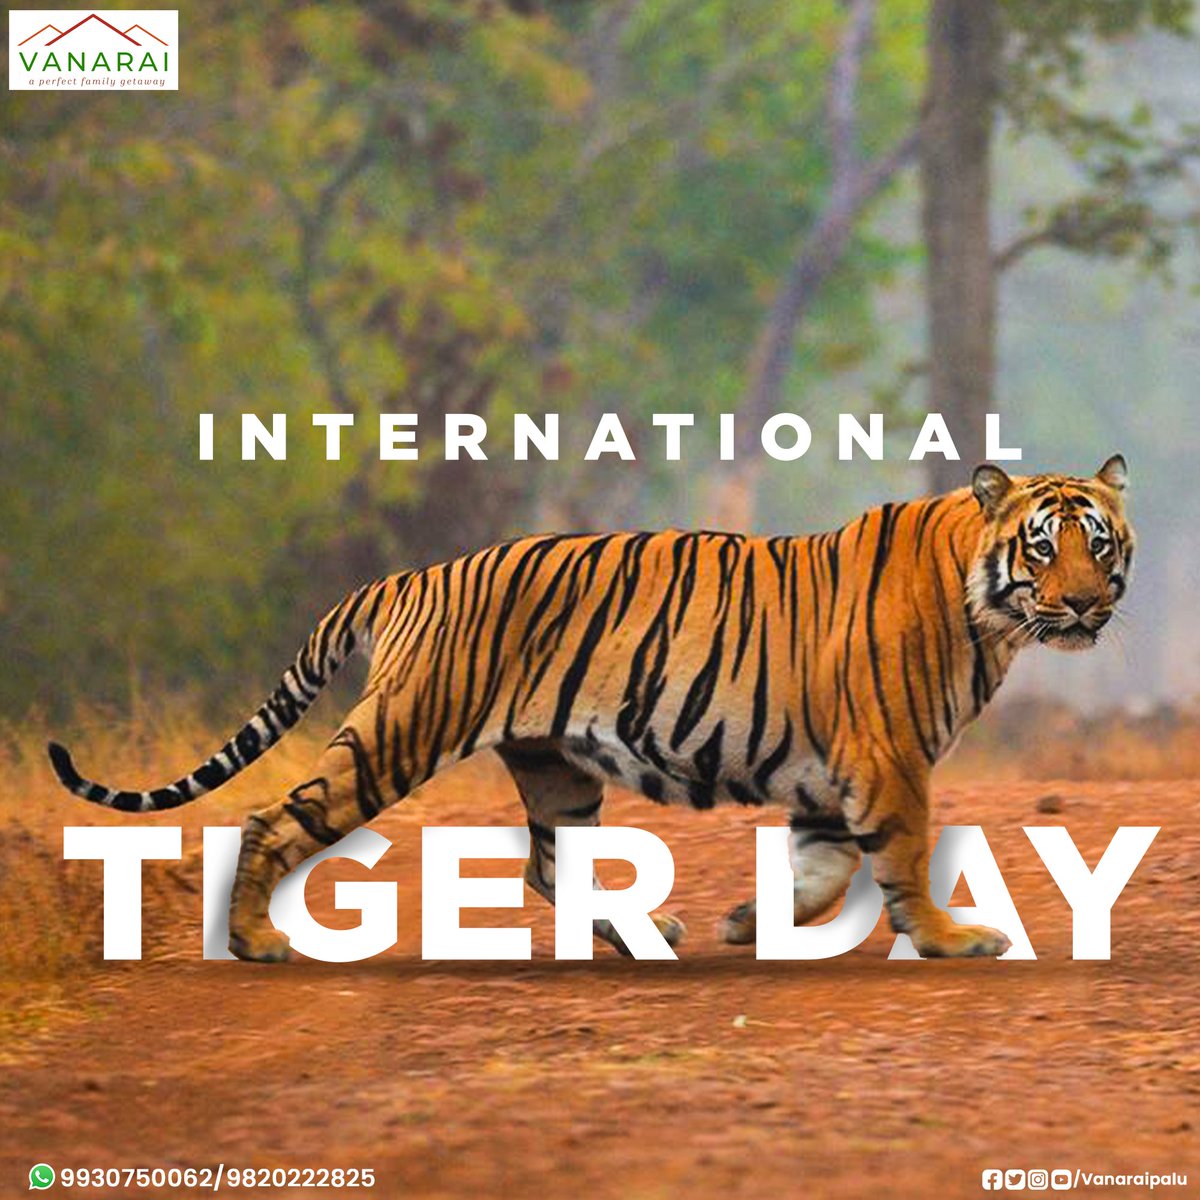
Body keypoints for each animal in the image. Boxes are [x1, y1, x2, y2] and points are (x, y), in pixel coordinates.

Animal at [48, 456, 1133, 962]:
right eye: (1044, 546)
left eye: (1103, 544)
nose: (1086, 605)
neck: (989, 611)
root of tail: (407, 577)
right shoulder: (887, 755)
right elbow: (901, 857)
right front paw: (955, 938)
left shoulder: (833, 773)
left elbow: (823, 870)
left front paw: (752, 919)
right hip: (400, 735)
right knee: (270, 817)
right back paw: (257, 943)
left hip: (553, 764)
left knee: (545, 865)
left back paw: (646, 929)